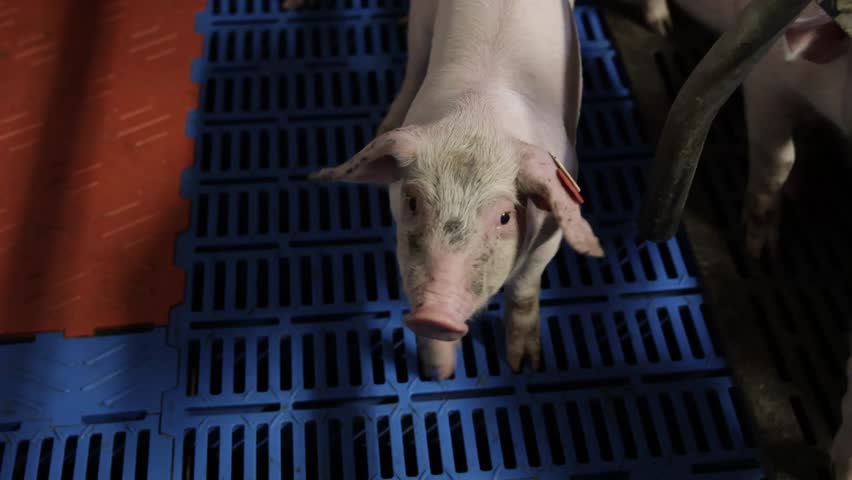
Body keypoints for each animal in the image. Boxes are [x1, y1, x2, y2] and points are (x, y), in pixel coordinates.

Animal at [309, 0, 604, 379]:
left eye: (505, 216)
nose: (434, 316)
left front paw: (524, 366)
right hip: (421, 20)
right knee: (414, 60)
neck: (478, 121)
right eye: (412, 201)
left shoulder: (551, 231)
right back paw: (386, 124)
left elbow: (525, 286)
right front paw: (439, 374)